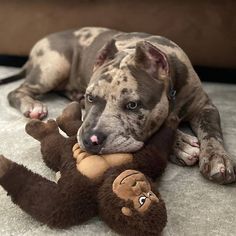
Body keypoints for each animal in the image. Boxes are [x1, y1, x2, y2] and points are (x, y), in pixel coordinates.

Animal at [2, 26, 235, 183]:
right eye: (90, 97)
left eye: (132, 105)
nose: (90, 140)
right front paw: (181, 144)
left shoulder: (204, 106)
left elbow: (212, 132)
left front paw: (217, 158)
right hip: (54, 66)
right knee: (16, 91)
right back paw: (32, 106)